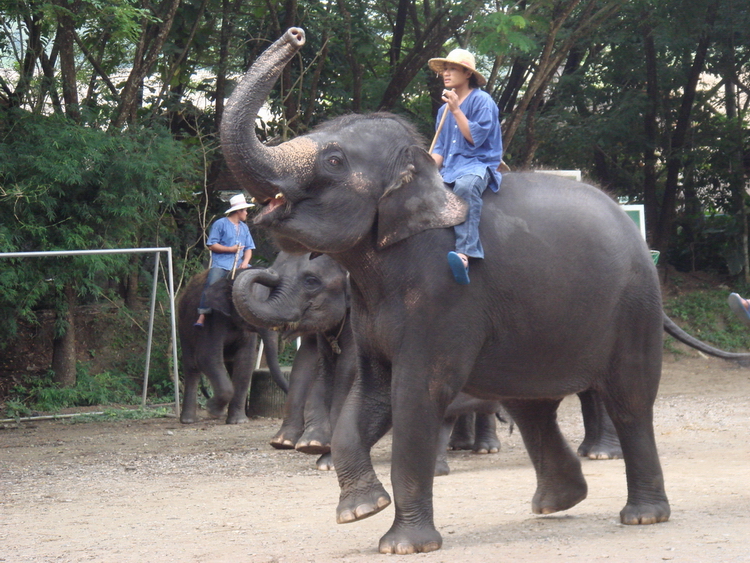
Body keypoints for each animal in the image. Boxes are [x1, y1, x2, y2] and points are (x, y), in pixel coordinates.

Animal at [178, 270, 290, 426]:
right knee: (192, 367)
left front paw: (238, 421)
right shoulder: (213, 319)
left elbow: (245, 360)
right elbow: (207, 357)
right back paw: (188, 420)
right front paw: (213, 409)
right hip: (184, 326)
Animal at [219, 28, 750, 552]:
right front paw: (361, 510)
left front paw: (403, 545)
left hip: (635, 307)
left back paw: (641, 516)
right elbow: (368, 397)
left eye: (333, 160)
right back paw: (557, 503)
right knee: (532, 405)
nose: (297, 35)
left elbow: (416, 394)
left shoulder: (444, 300)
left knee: (629, 399)